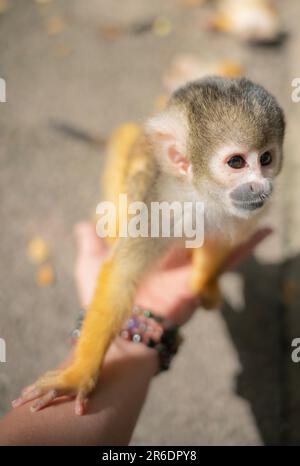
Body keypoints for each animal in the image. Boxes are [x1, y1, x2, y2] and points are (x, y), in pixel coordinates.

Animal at [15, 77, 284, 416]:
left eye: (266, 159)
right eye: (236, 162)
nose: (261, 187)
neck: (198, 196)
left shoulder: (245, 212)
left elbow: (220, 239)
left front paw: (204, 280)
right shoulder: (158, 207)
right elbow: (122, 274)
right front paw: (78, 376)